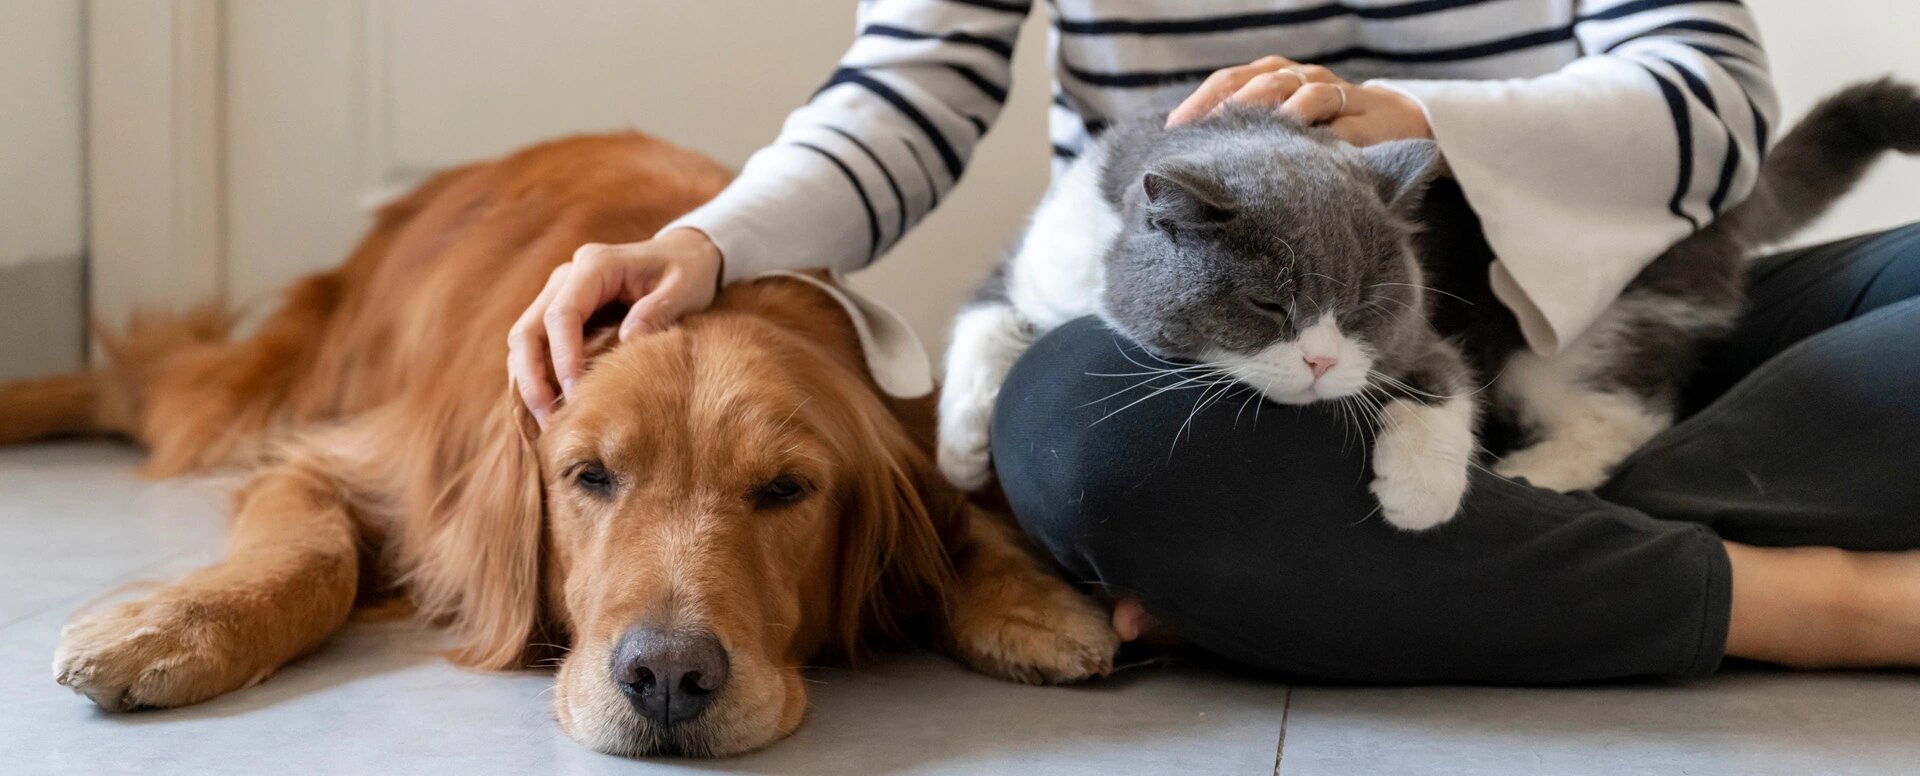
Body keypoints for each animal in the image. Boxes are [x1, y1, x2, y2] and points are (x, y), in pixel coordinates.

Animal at [940, 78, 1920, 530]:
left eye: (1364, 308)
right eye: (1265, 305)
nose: (1321, 360)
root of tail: (1728, 192)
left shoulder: (1428, 332)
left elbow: (1441, 382)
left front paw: (1417, 493)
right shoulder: (1034, 260)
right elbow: (982, 319)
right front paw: (957, 452)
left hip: (1577, 329)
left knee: (1626, 413)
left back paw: (1536, 472)